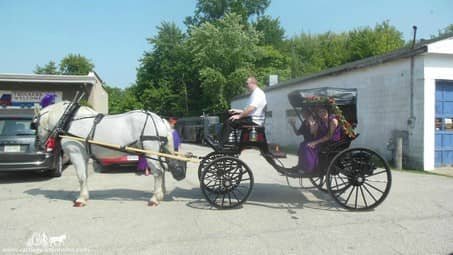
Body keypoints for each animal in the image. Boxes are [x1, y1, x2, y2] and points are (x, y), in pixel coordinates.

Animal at [33, 100, 175, 206]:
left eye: (34, 124)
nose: (38, 145)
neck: (70, 120)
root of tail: (160, 120)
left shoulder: (76, 153)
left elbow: (81, 176)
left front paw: (80, 200)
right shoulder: (83, 156)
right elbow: (85, 176)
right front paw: (85, 196)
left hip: (150, 152)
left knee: (158, 172)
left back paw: (155, 199)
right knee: (162, 170)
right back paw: (162, 194)